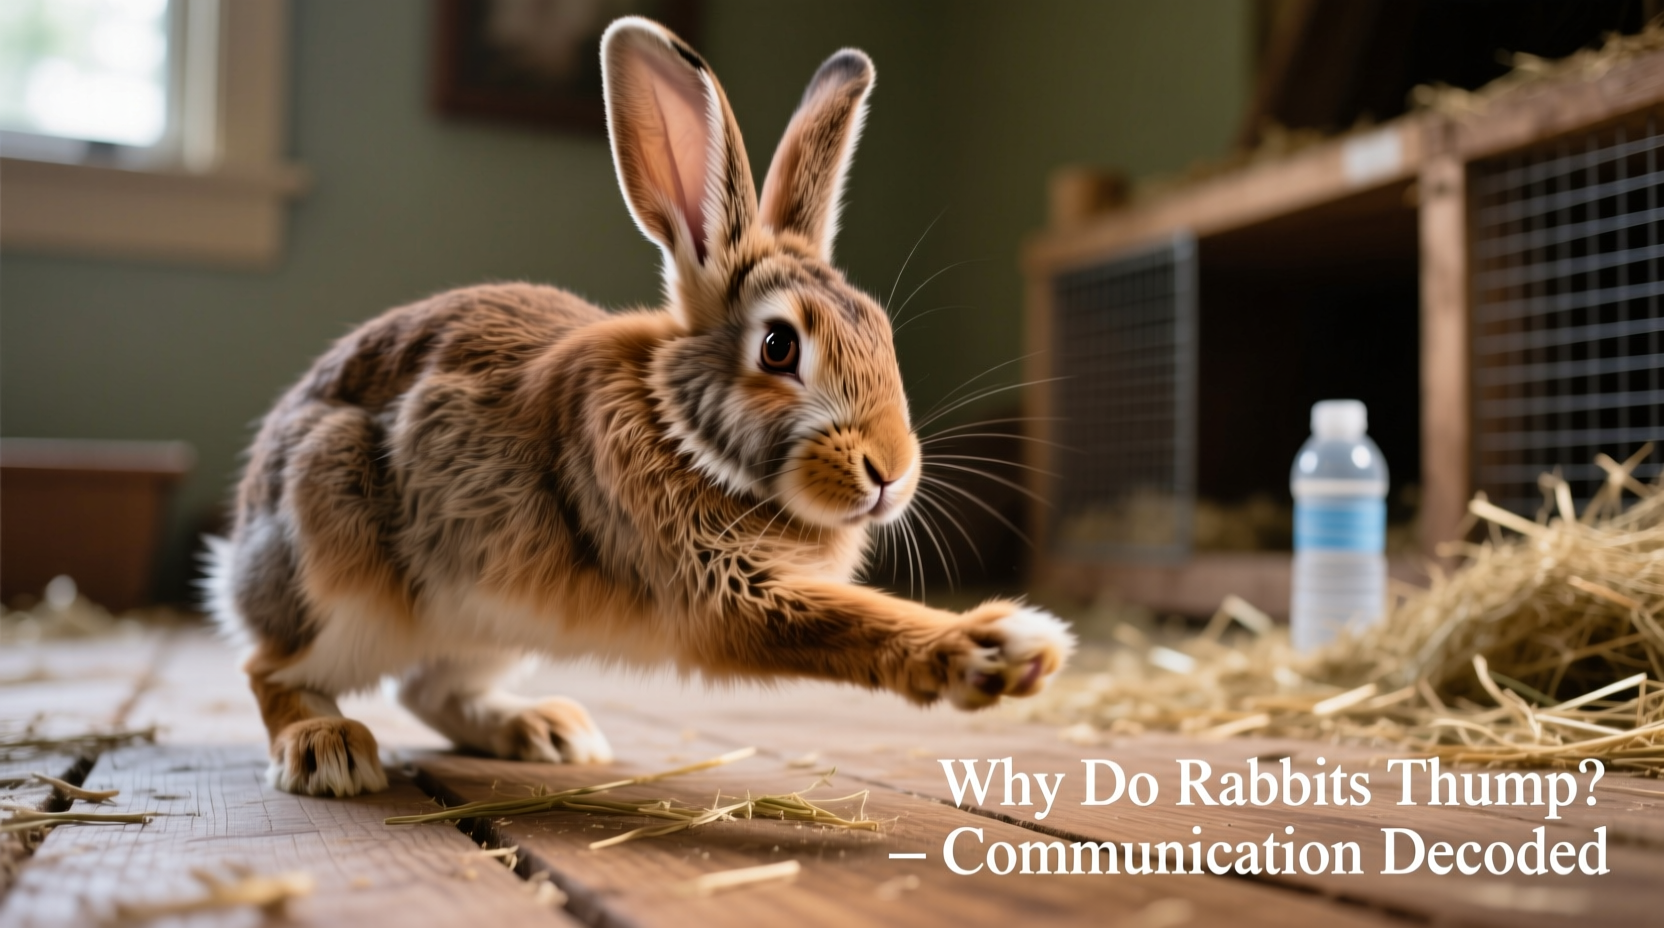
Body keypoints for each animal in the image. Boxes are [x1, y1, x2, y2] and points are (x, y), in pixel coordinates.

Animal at [204, 16, 1075, 797]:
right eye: (779, 347)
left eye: (881, 332)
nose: (890, 473)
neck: (681, 427)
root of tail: (238, 554)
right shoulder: (727, 591)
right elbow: (850, 619)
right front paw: (1002, 648)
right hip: (338, 569)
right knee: (268, 668)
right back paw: (329, 750)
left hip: (491, 623)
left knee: (428, 688)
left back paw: (547, 731)